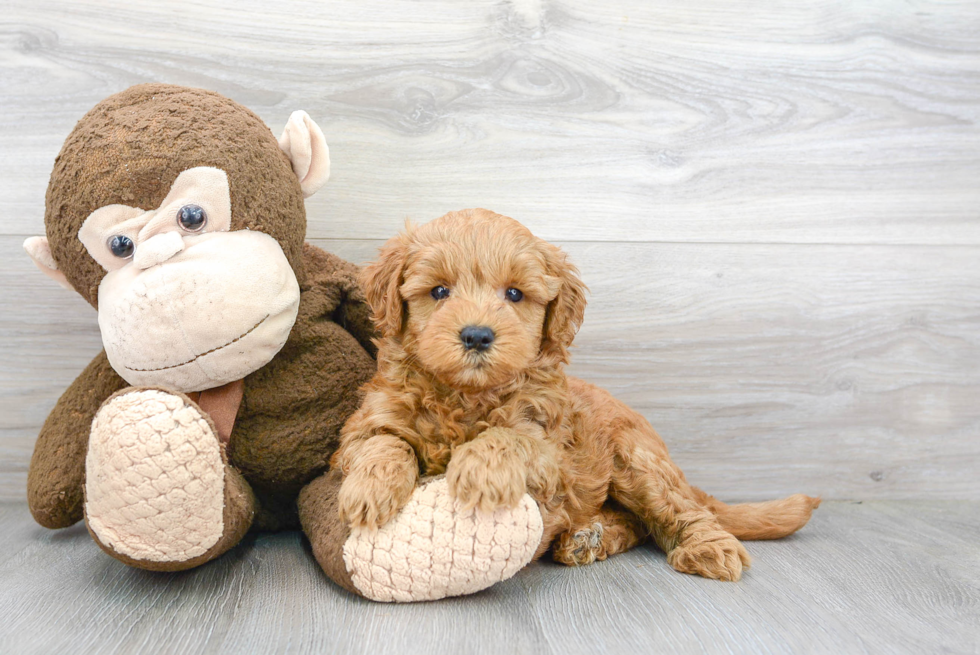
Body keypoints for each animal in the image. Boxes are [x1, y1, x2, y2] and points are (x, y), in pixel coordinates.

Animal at [334, 208, 816, 580]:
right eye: (438, 291)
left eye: (514, 294)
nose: (476, 335)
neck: (466, 396)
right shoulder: (367, 422)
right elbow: (384, 443)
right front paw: (368, 491)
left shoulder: (548, 447)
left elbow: (509, 437)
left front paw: (480, 471)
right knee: (637, 523)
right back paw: (588, 538)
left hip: (637, 461)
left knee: (680, 511)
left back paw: (706, 547)